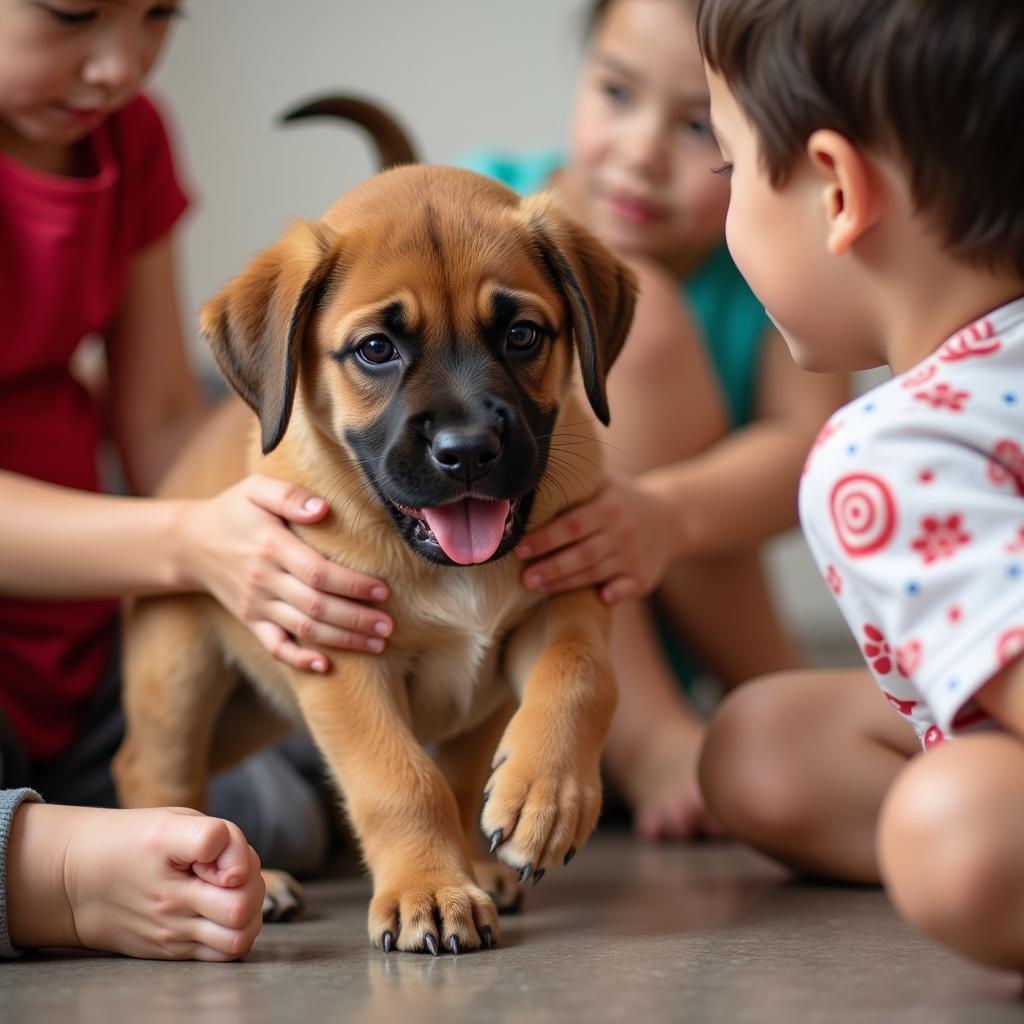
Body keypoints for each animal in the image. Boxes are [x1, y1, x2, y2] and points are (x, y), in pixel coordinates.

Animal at [116, 134, 634, 950]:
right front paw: (429, 891)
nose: (467, 451)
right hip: (181, 669)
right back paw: (208, 878)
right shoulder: (340, 657)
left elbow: (578, 677)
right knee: (151, 769)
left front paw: (545, 797)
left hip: (255, 707)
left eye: (521, 335)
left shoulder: (565, 596)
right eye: (375, 349)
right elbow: (400, 780)